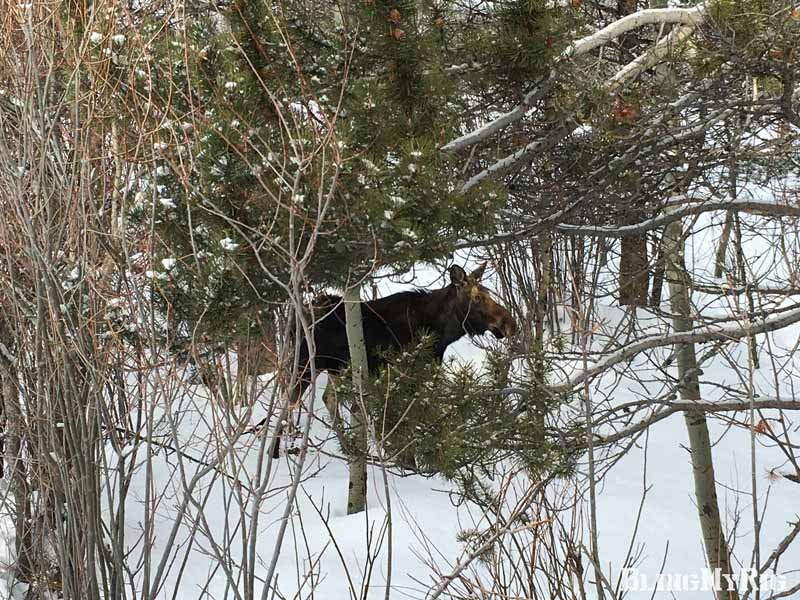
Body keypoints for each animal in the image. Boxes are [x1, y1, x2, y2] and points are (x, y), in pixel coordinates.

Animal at [268, 264, 520, 458]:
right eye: (477, 297)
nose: (510, 323)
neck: (442, 331)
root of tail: (294, 322)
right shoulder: (400, 371)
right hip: (305, 365)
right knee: (288, 403)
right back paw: (274, 452)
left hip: (336, 368)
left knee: (327, 397)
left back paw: (348, 448)